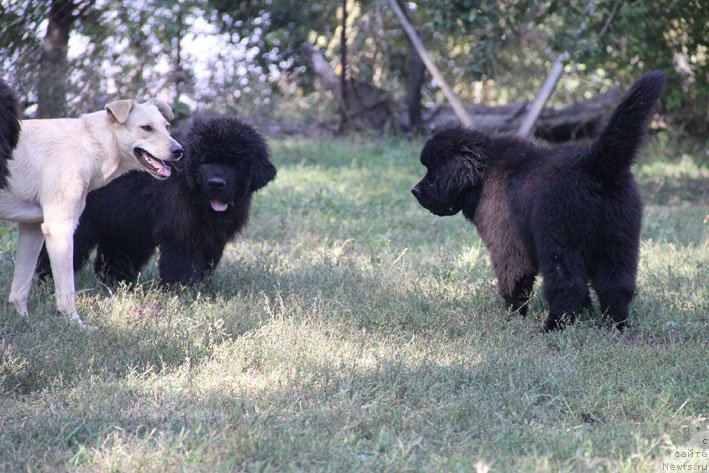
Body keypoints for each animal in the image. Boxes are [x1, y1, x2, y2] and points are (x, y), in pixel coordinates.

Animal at [0, 96, 183, 324]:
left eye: (167, 127)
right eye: (146, 128)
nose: (180, 151)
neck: (90, 144)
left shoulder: (32, 228)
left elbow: (20, 288)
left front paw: (23, 319)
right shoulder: (60, 230)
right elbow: (67, 291)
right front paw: (75, 324)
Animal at [37, 116, 276, 286]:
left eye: (235, 164)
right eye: (206, 161)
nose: (216, 183)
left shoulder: (214, 239)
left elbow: (205, 264)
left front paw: (201, 288)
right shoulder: (181, 234)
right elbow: (182, 264)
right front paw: (183, 291)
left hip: (124, 226)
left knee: (116, 256)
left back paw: (116, 283)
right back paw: (46, 280)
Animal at [412, 72, 668, 330]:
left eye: (433, 171)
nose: (414, 191)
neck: (484, 173)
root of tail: (594, 164)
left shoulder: (507, 243)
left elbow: (515, 278)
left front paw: (514, 314)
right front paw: (584, 314)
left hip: (561, 242)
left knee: (567, 285)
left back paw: (554, 325)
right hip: (620, 239)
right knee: (616, 284)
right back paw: (616, 324)